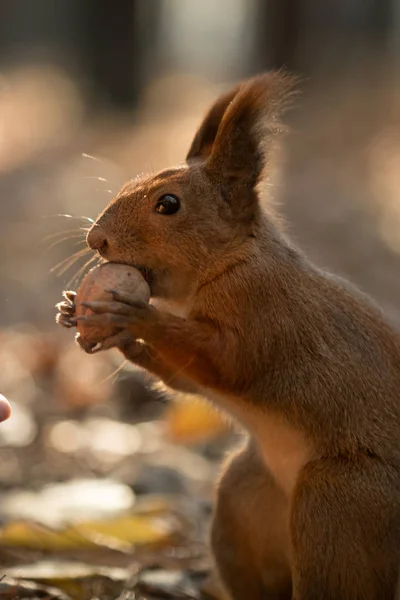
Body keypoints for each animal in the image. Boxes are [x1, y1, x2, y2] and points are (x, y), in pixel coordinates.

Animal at [57, 72, 400, 596]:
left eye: (169, 204)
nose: (96, 240)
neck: (229, 264)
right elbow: (187, 380)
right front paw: (78, 313)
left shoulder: (264, 313)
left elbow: (224, 361)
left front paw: (135, 316)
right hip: (245, 495)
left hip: (338, 500)